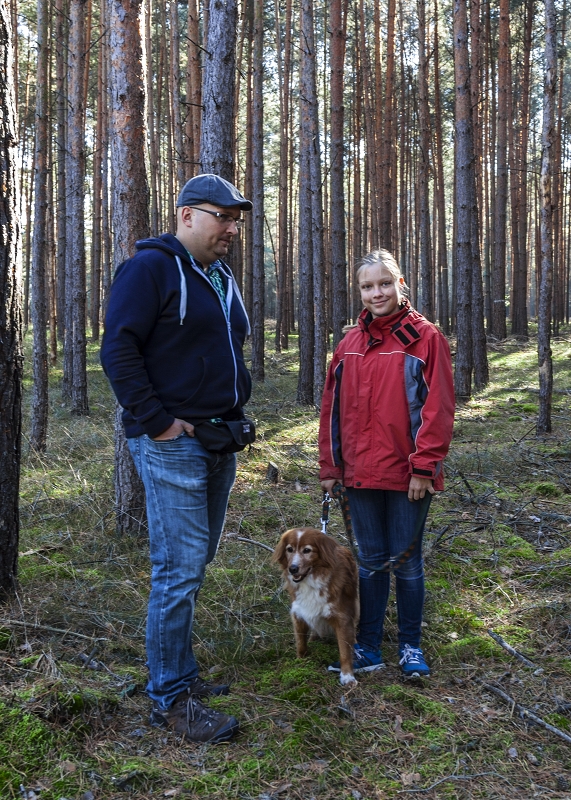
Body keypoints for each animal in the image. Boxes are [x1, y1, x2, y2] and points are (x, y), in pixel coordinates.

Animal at [272, 527, 359, 685]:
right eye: (289, 549)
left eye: (307, 550)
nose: (292, 569)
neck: (311, 581)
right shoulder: (299, 612)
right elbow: (300, 642)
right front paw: (300, 662)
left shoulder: (342, 617)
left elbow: (344, 650)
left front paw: (347, 676)